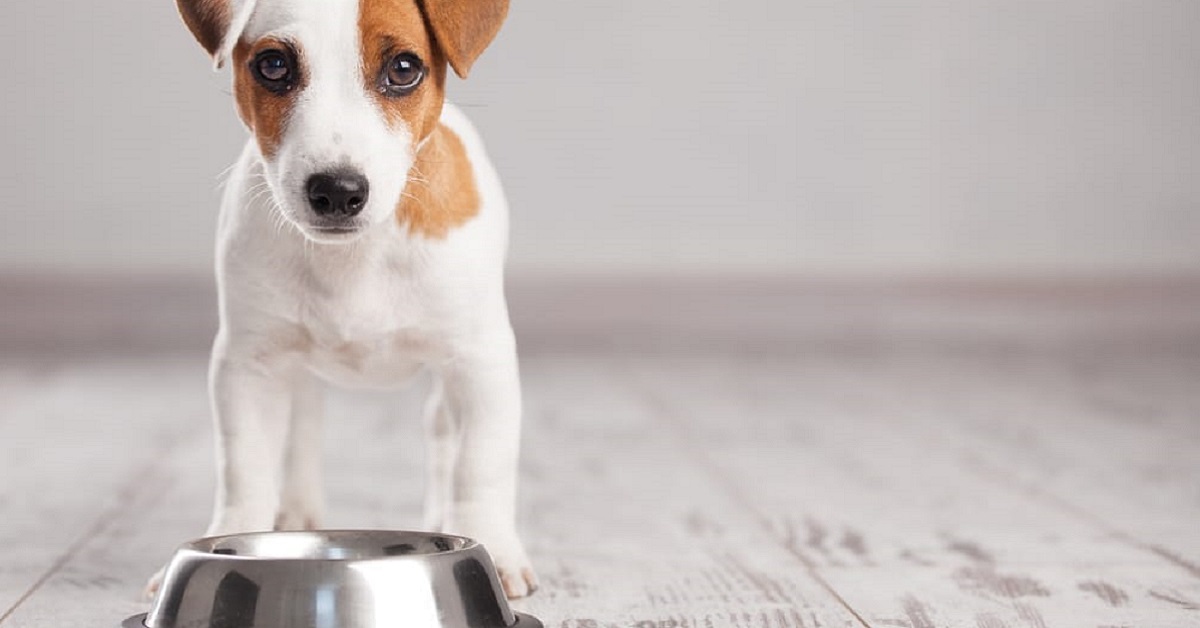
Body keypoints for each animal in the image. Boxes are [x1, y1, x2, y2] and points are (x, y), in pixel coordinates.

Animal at [156, 0, 540, 600]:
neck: (356, 258)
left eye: (404, 68)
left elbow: (481, 464)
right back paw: (296, 512)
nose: (336, 190)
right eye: (273, 66)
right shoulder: (247, 365)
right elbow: (244, 467)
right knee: (304, 425)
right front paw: (229, 538)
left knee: (441, 433)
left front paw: (494, 552)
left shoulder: (481, 360)